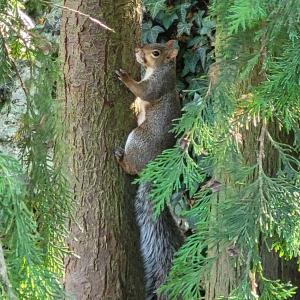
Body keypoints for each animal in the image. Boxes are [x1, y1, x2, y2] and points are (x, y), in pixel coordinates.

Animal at [115, 41, 183, 298]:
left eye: (155, 53)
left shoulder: (157, 86)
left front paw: (126, 78)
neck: (161, 70)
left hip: (137, 139)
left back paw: (121, 159)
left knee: (131, 169)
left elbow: (143, 92)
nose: (137, 49)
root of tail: (152, 168)